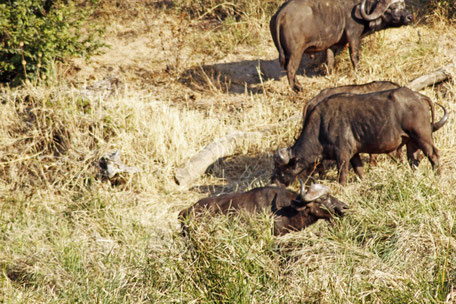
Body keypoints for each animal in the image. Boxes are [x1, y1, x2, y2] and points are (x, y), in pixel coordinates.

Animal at [270, 0, 414, 91]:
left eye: (403, 5)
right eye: (391, 7)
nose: (409, 17)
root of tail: (281, 13)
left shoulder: (333, 44)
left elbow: (330, 59)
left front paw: (331, 75)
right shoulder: (354, 36)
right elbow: (354, 57)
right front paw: (358, 72)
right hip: (296, 52)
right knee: (291, 69)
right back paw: (297, 88)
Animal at [270, 86, 448, 184]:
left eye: (281, 170)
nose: (273, 183)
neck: (321, 127)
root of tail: (418, 96)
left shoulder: (342, 155)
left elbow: (342, 176)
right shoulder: (354, 153)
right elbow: (359, 170)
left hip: (422, 136)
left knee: (433, 154)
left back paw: (438, 176)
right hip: (411, 142)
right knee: (414, 161)